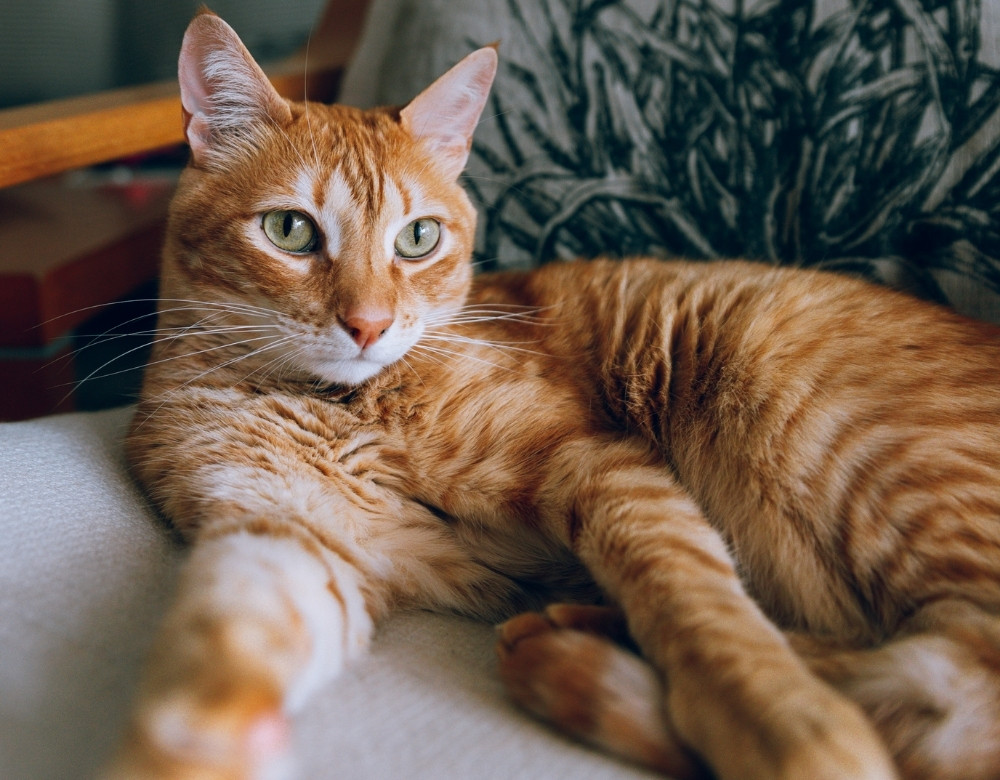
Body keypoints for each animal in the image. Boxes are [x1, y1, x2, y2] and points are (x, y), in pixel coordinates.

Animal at [107, 10, 1000, 780]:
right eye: (290, 231)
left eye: (418, 238)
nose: (369, 324)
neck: (342, 407)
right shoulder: (283, 531)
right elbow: (222, 647)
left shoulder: (595, 466)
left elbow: (705, 616)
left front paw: (787, 734)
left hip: (844, 441)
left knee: (949, 687)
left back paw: (578, 648)